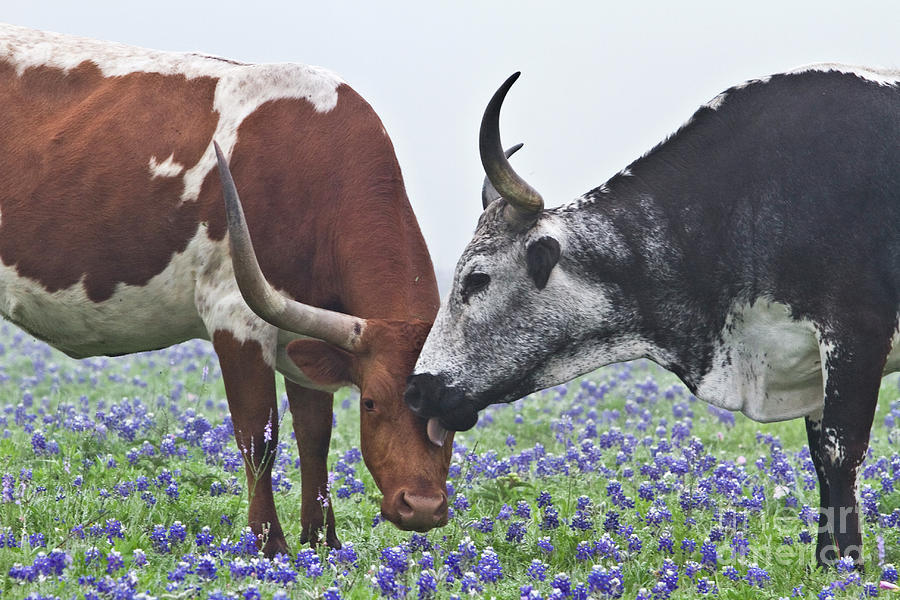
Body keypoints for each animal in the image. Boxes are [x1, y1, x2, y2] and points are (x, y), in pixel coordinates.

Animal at [0, 24, 450, 556]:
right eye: (371, 403)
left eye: (462, 412)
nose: (421, 507)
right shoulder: (237, 316)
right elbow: (259, 437)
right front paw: (269, 546)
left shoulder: (311, 329)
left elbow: (314, 435)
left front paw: (322, 543)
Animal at [408, 67, 900, 568]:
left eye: (477, 279)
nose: (416, 391)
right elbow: (820, 461)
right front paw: (827, 563)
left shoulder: (855, 335)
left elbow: (840, 455)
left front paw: (848, 566)